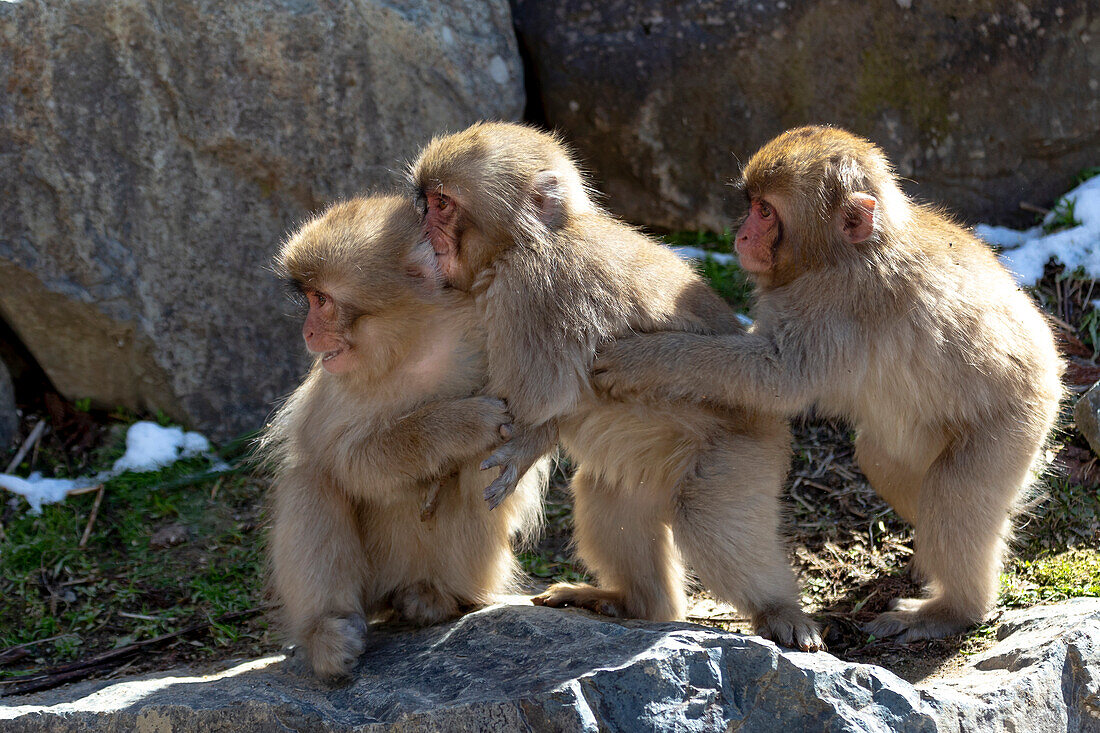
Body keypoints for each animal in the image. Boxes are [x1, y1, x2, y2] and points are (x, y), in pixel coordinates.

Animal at [258, 195, 550, 677]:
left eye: (322, 300)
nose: (308, 332)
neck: (414, 340)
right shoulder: (338, 387)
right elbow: (350, 464)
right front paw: (460, 425)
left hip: (472, 569)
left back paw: (434, 598)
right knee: (311, 479)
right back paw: (326, 634)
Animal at [594, 124, 1064, 638]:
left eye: (765, 211)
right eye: (751, 203)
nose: (741, 234)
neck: (844, 255)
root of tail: (1053, 361)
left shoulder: (836, 307)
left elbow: (778, 381)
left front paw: (644, 359)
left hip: (1013, 421)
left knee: (954, 495)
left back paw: (953, 609)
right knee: (885, 462)